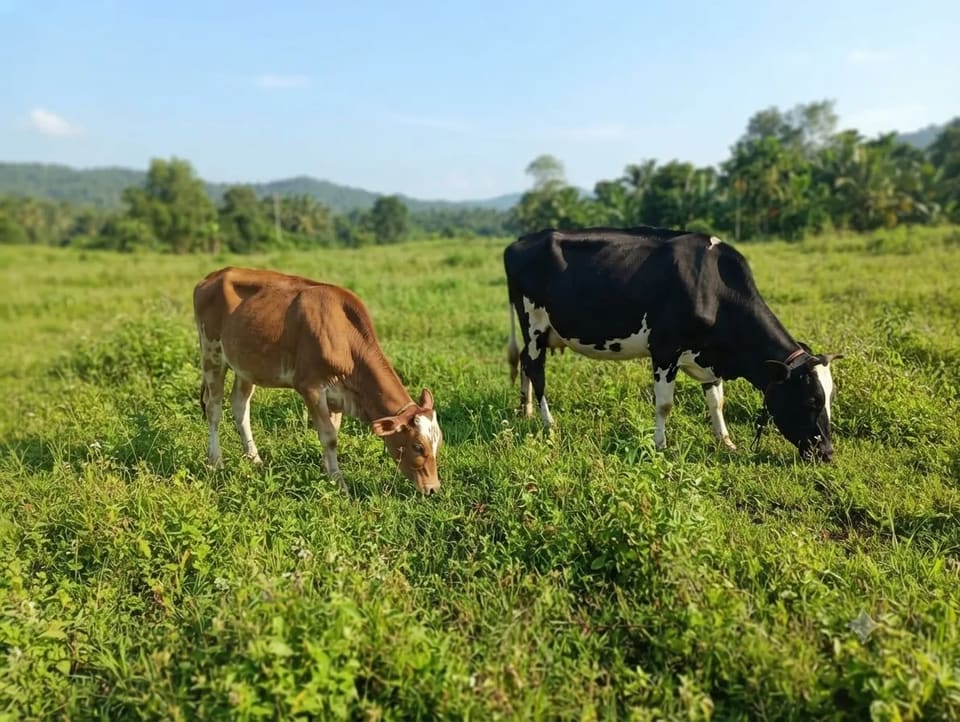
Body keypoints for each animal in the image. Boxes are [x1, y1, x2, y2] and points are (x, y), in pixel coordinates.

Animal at [193, 267, 442, 494]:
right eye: (417, 446)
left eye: (438, 442)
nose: (433, 489)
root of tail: (212, 275)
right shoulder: (310, 387)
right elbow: (329, 437)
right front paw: (340, 484)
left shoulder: (338, 394)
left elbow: (333, 431)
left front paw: (327, 473)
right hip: (212, 353)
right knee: (214, 408)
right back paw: (216, 461)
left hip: (246, 365)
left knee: (240, 405)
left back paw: (253, 458)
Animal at [504, 227, 842, 462]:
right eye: (811, 400)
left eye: (830, 398)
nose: (827, 453)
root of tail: (519, 241)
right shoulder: (665, 349)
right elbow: (664, 404)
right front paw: (660, 446)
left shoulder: (710, 356)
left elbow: (717, 401)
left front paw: (726, 442)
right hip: (534, 322)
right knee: (536, 369)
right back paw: (548, 422)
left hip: (541, 331)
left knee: (524, 361)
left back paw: (526, 410)